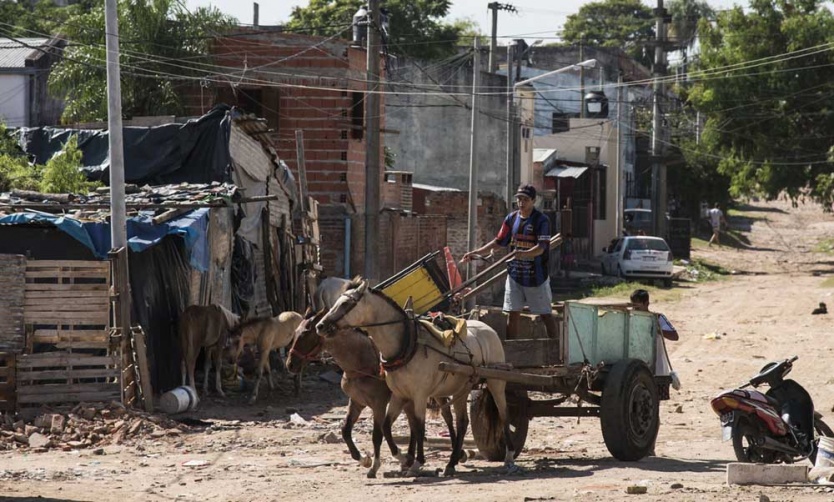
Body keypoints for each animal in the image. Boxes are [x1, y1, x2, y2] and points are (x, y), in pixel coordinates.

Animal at [316, 278, 516, 478]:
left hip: (496, 382)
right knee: (461, 422)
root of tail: (489, 329)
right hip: (461, 388)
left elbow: (418, 426)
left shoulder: (418, 395)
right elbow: (386, 427)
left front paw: (416, 462)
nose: (320, 326)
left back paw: (509, 457)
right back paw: (452, 462)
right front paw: (403, 458)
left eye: (346, 303)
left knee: (504, 414)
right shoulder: (399, 395)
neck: (407, 345)